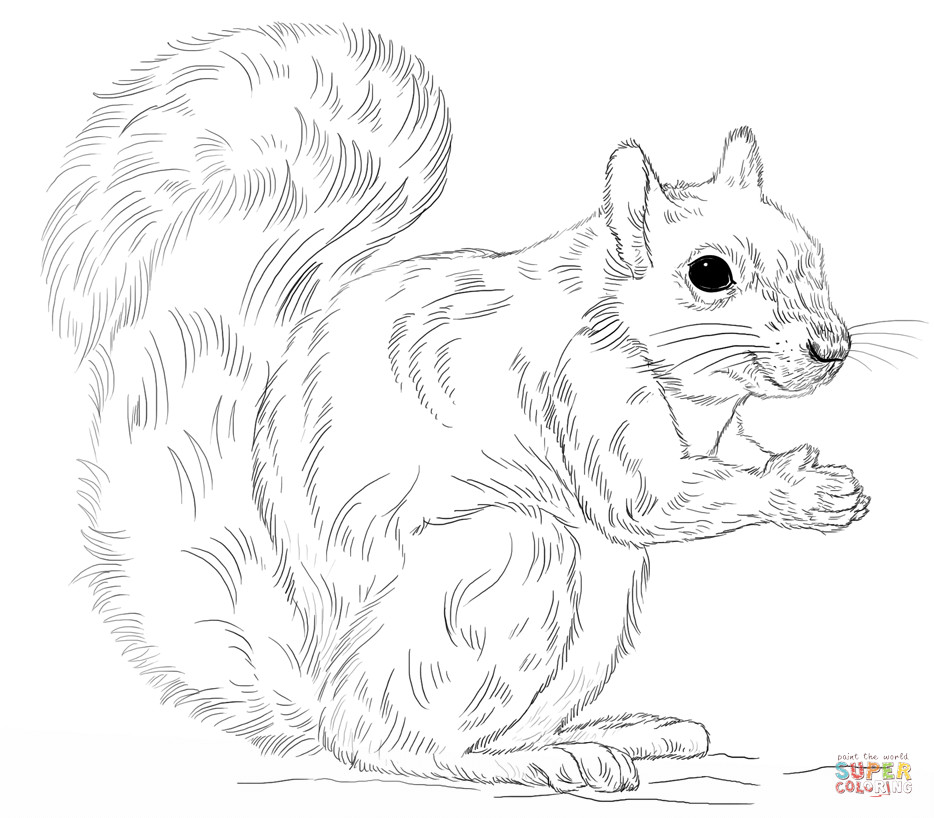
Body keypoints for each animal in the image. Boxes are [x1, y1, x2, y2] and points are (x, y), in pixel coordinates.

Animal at [42, 23, 869, 792]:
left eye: (816, 254)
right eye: (709, 273)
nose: (832, 349)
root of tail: (318, 685)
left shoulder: (715, 429)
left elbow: (731, 459)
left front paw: (811, 473)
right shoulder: (585, 381)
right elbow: (646, 500)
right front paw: (799, 491)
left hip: (597, 601)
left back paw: (622, 733)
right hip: (505, 564)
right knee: (393, 743)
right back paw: (540, 761)